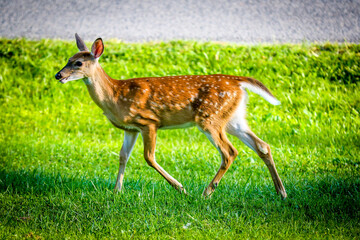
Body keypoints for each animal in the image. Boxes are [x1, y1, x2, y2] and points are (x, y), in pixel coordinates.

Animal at [54, 33, 286, 199]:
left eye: (78, 63)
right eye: (68, 59)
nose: (58, 75)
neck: (115, 96)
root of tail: (238, 81)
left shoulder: (148, 122)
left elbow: (149, 157)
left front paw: (180, 187)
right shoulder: (130, 128)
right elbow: (122, 156)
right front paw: (116, 191)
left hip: (210, 118)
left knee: (229, 152)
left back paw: (207, 192)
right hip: (232, 118)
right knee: (262, 145)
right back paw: (281, 192)